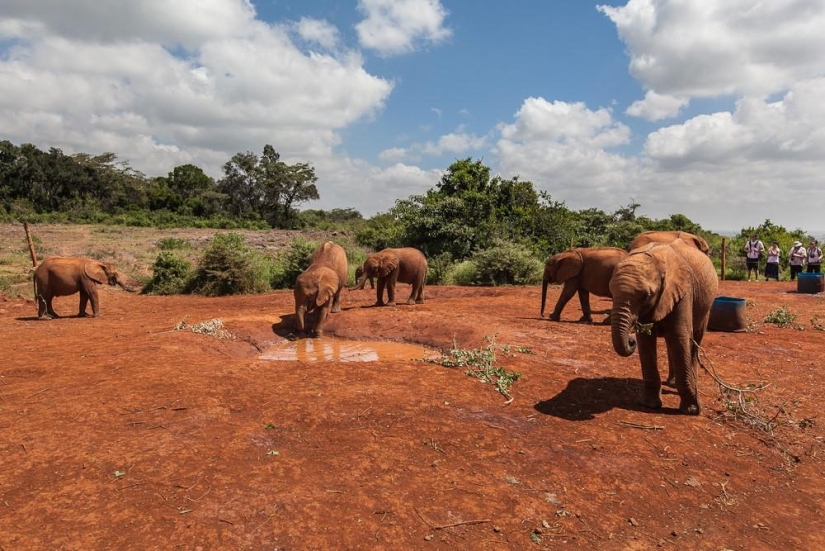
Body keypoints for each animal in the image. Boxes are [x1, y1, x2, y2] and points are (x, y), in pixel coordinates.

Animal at [609, 240, 718, 415]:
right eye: (611, 293)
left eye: (645, 296)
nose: (630, 340)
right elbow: (646, 342)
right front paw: (648, 405)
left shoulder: (683, 292)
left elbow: (679, 337)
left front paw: (692, 411)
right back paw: (672, 383)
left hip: (706, 305)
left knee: (694, 339)